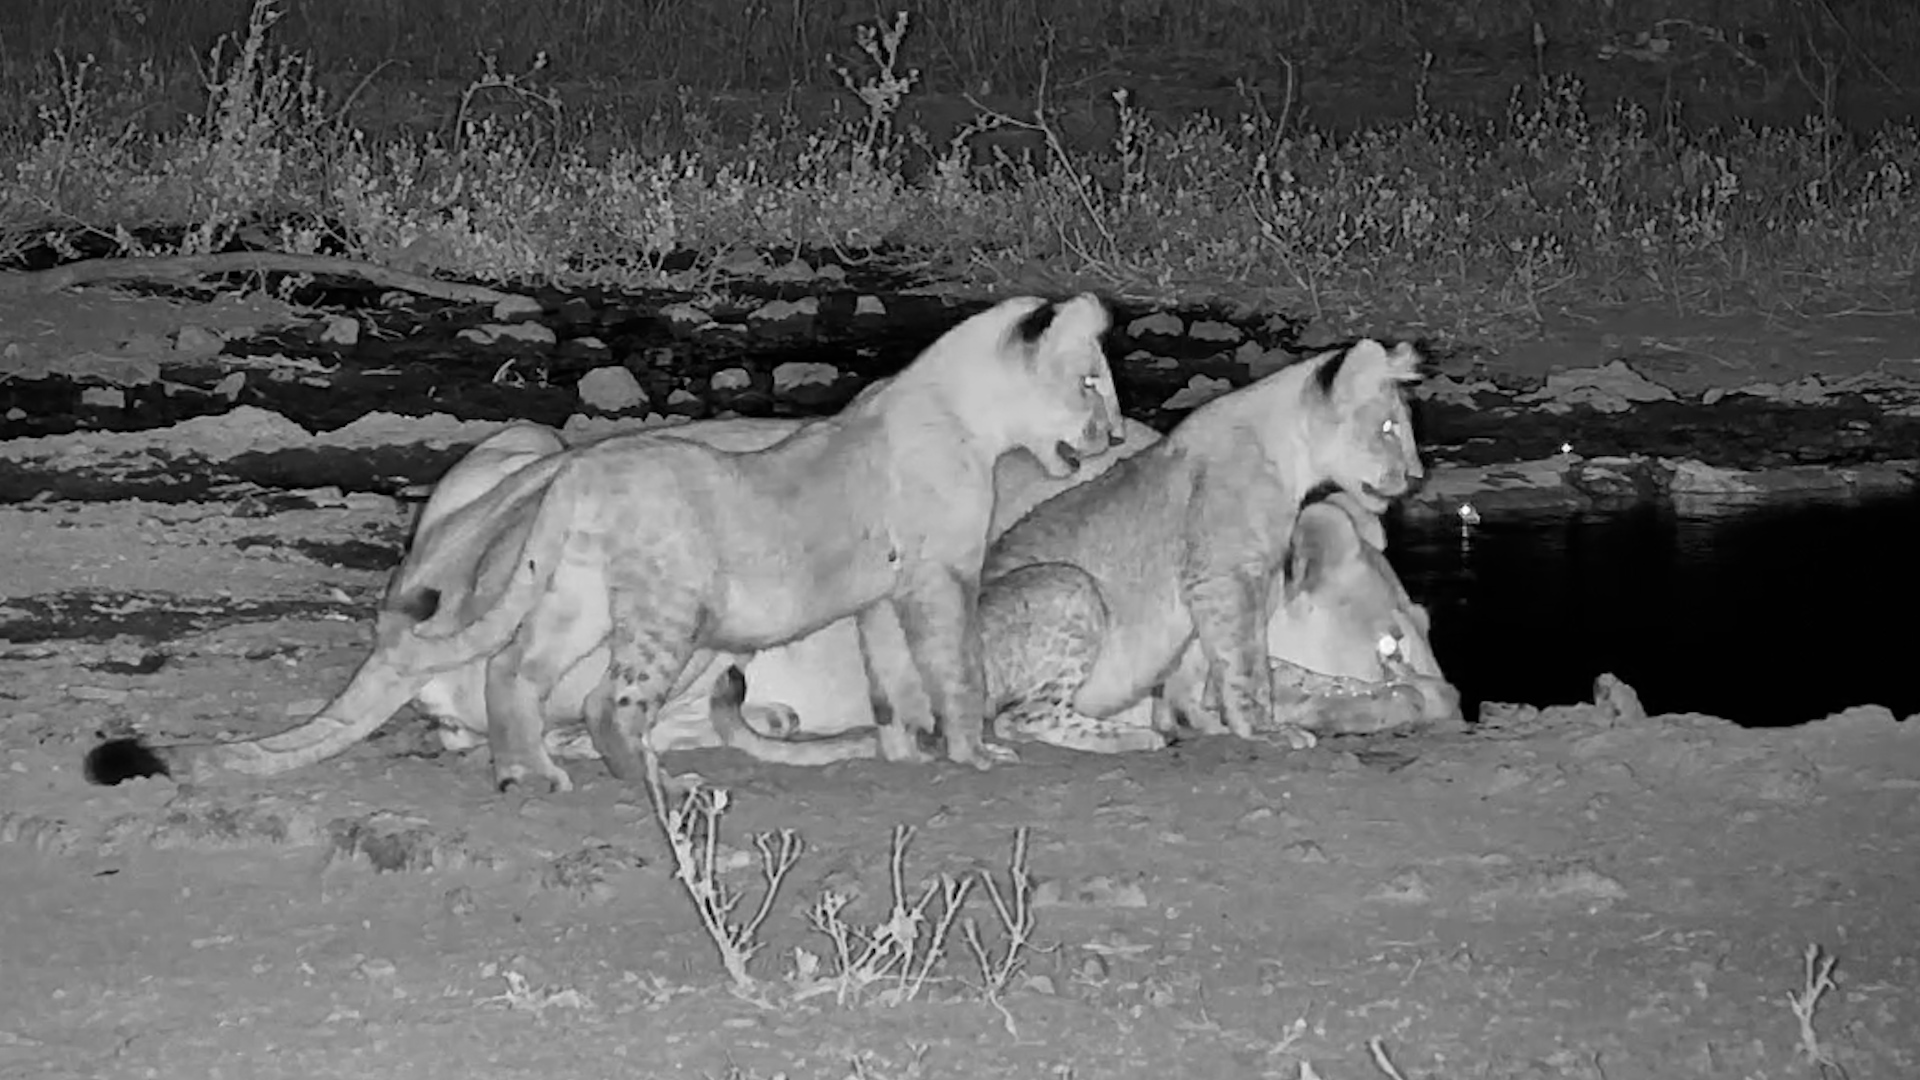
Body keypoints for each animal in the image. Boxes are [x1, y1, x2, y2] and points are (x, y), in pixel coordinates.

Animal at [82, 293, 1123, 795]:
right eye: (1089, 383)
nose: (1115, 434)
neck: (963, 410)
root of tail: (577, 474)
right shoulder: (940, 577)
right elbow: (957, 670)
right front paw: (974, 752)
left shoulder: (882, 589)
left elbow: (897, 679)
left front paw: (906, 750)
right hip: (680, 613)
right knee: (609, 708)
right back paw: (656, 779)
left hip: (573, 594)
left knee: (518, 680)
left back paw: (530, 773)